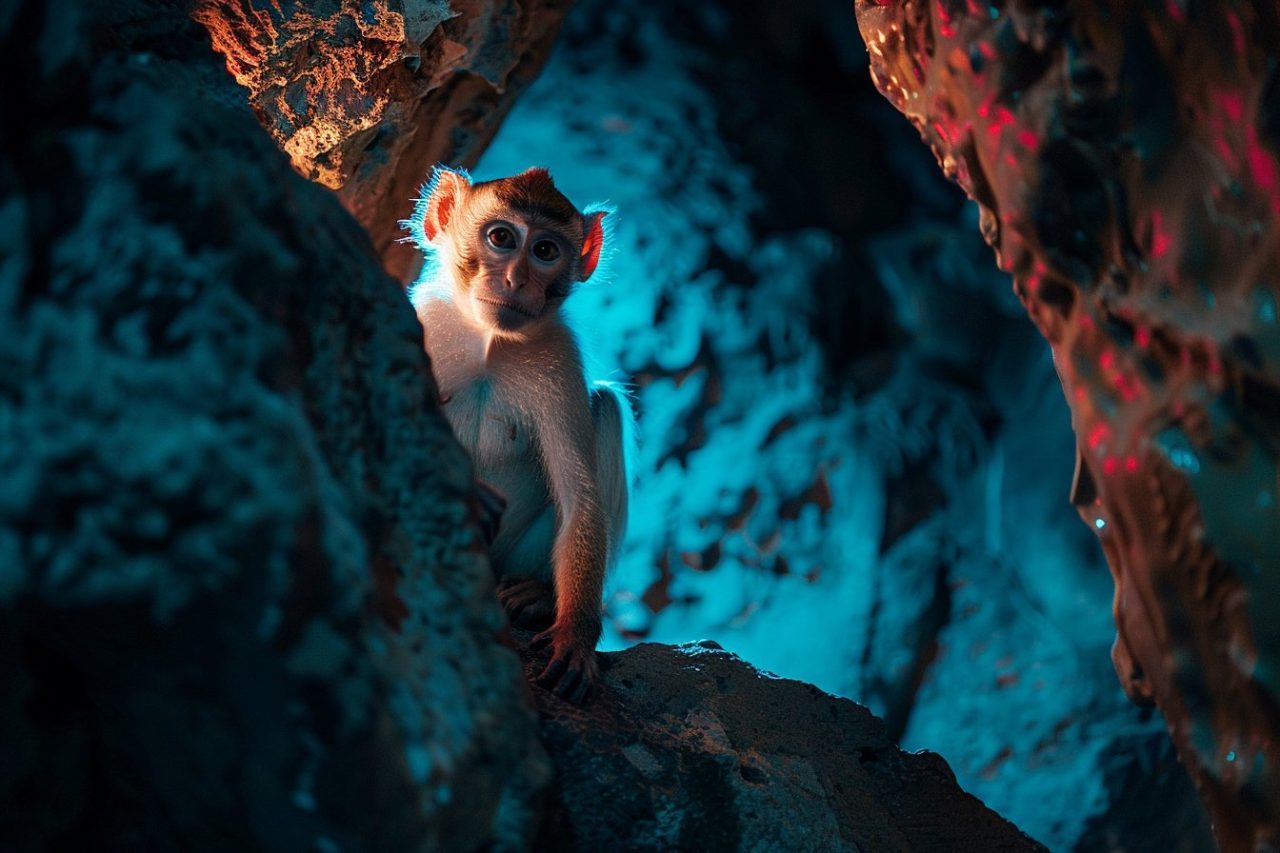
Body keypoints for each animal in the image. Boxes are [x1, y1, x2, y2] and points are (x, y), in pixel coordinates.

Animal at [403, 165, 629, 704]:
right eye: (501, 238)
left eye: (545, 250)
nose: (515, 280)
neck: (489, 341)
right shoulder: (422, 320)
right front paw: (471, 489)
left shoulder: (558, 357)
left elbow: (579, 496)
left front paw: (575, 634)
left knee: (606, 407)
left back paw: (538, 596)